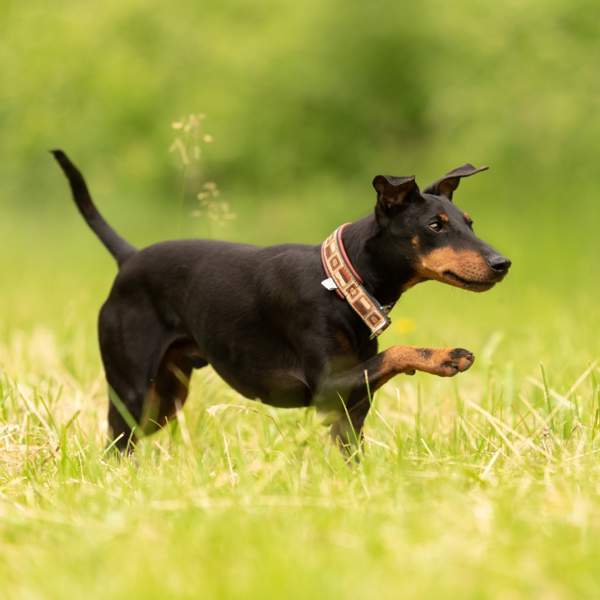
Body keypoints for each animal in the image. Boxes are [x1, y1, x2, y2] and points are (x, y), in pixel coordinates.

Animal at [52, 151, 510, 450]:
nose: (502, 263)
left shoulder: (350, 409)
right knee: (114, 444)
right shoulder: (326, 387)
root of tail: (128, 257)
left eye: (469, 223)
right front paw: (444, 356)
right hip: (131, 389)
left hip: (162, 400)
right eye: (435, 225)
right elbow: (397, 351)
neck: (341, 284)